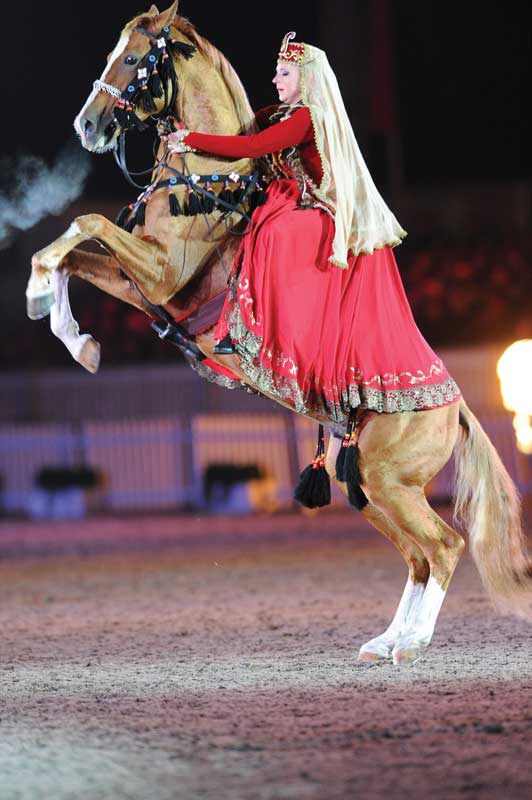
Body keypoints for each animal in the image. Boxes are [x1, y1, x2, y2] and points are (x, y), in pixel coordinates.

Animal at [25, 1, 532, 664]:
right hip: (367, 485)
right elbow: (73, 254)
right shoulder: (143, 284)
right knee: (418, 557)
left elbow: (82, 223)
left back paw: (412, 644)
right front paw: (71, 333)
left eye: (134, 58)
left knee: (443, 546)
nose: (88, 125)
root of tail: (458, 407)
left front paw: (39, 296)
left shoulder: (161, 275)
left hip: (390, 483)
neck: (212, 180)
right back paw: (386, 640)